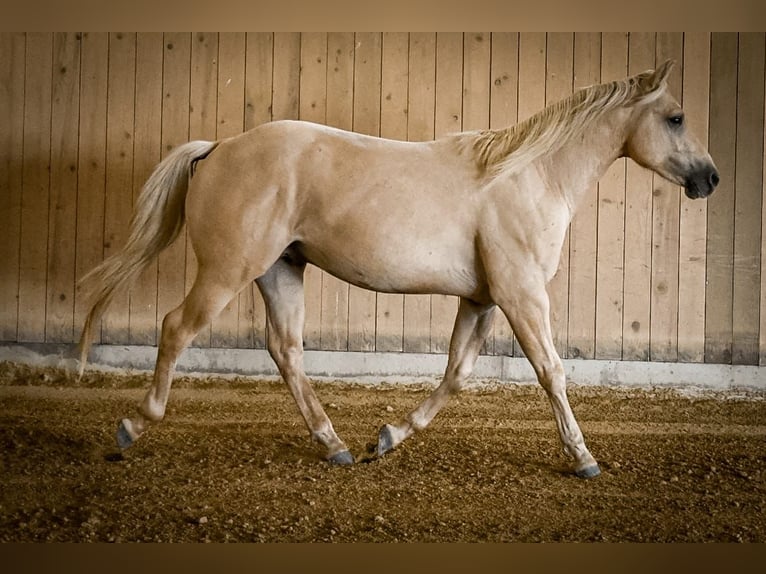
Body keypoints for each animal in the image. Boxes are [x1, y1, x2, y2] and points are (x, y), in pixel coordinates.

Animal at [78, 60, 720, 480]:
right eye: (677, 117)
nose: (709, 178)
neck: (529, 176)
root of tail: (218, 148)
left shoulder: (483, 299)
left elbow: (457, 374)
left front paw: (386, 439)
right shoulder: (521, 294)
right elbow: (552, 371)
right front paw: (584, 458)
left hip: (280, 270)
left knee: (285, 350)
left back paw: (335, 445)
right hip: (228, 270)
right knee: (176, 329)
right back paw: (132, 428)